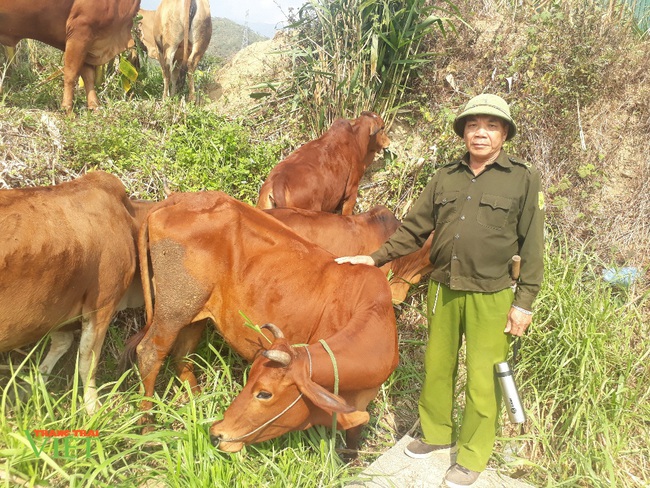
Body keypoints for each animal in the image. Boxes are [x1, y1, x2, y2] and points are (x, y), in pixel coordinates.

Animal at [0, 0, 140, 111]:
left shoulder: (89, 44)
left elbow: (88, 77)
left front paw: (95, 107)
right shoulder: (80, 32)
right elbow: (71, 74)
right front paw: (68, 110)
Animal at [127, 193, 398, 452]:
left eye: (264, 393)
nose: (218, 433)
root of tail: (181, 198)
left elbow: (355, 431)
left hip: (195, 312)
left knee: (182, 357)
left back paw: (200, 404)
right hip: (174, 308)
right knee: (150, 352)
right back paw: (147, 428)